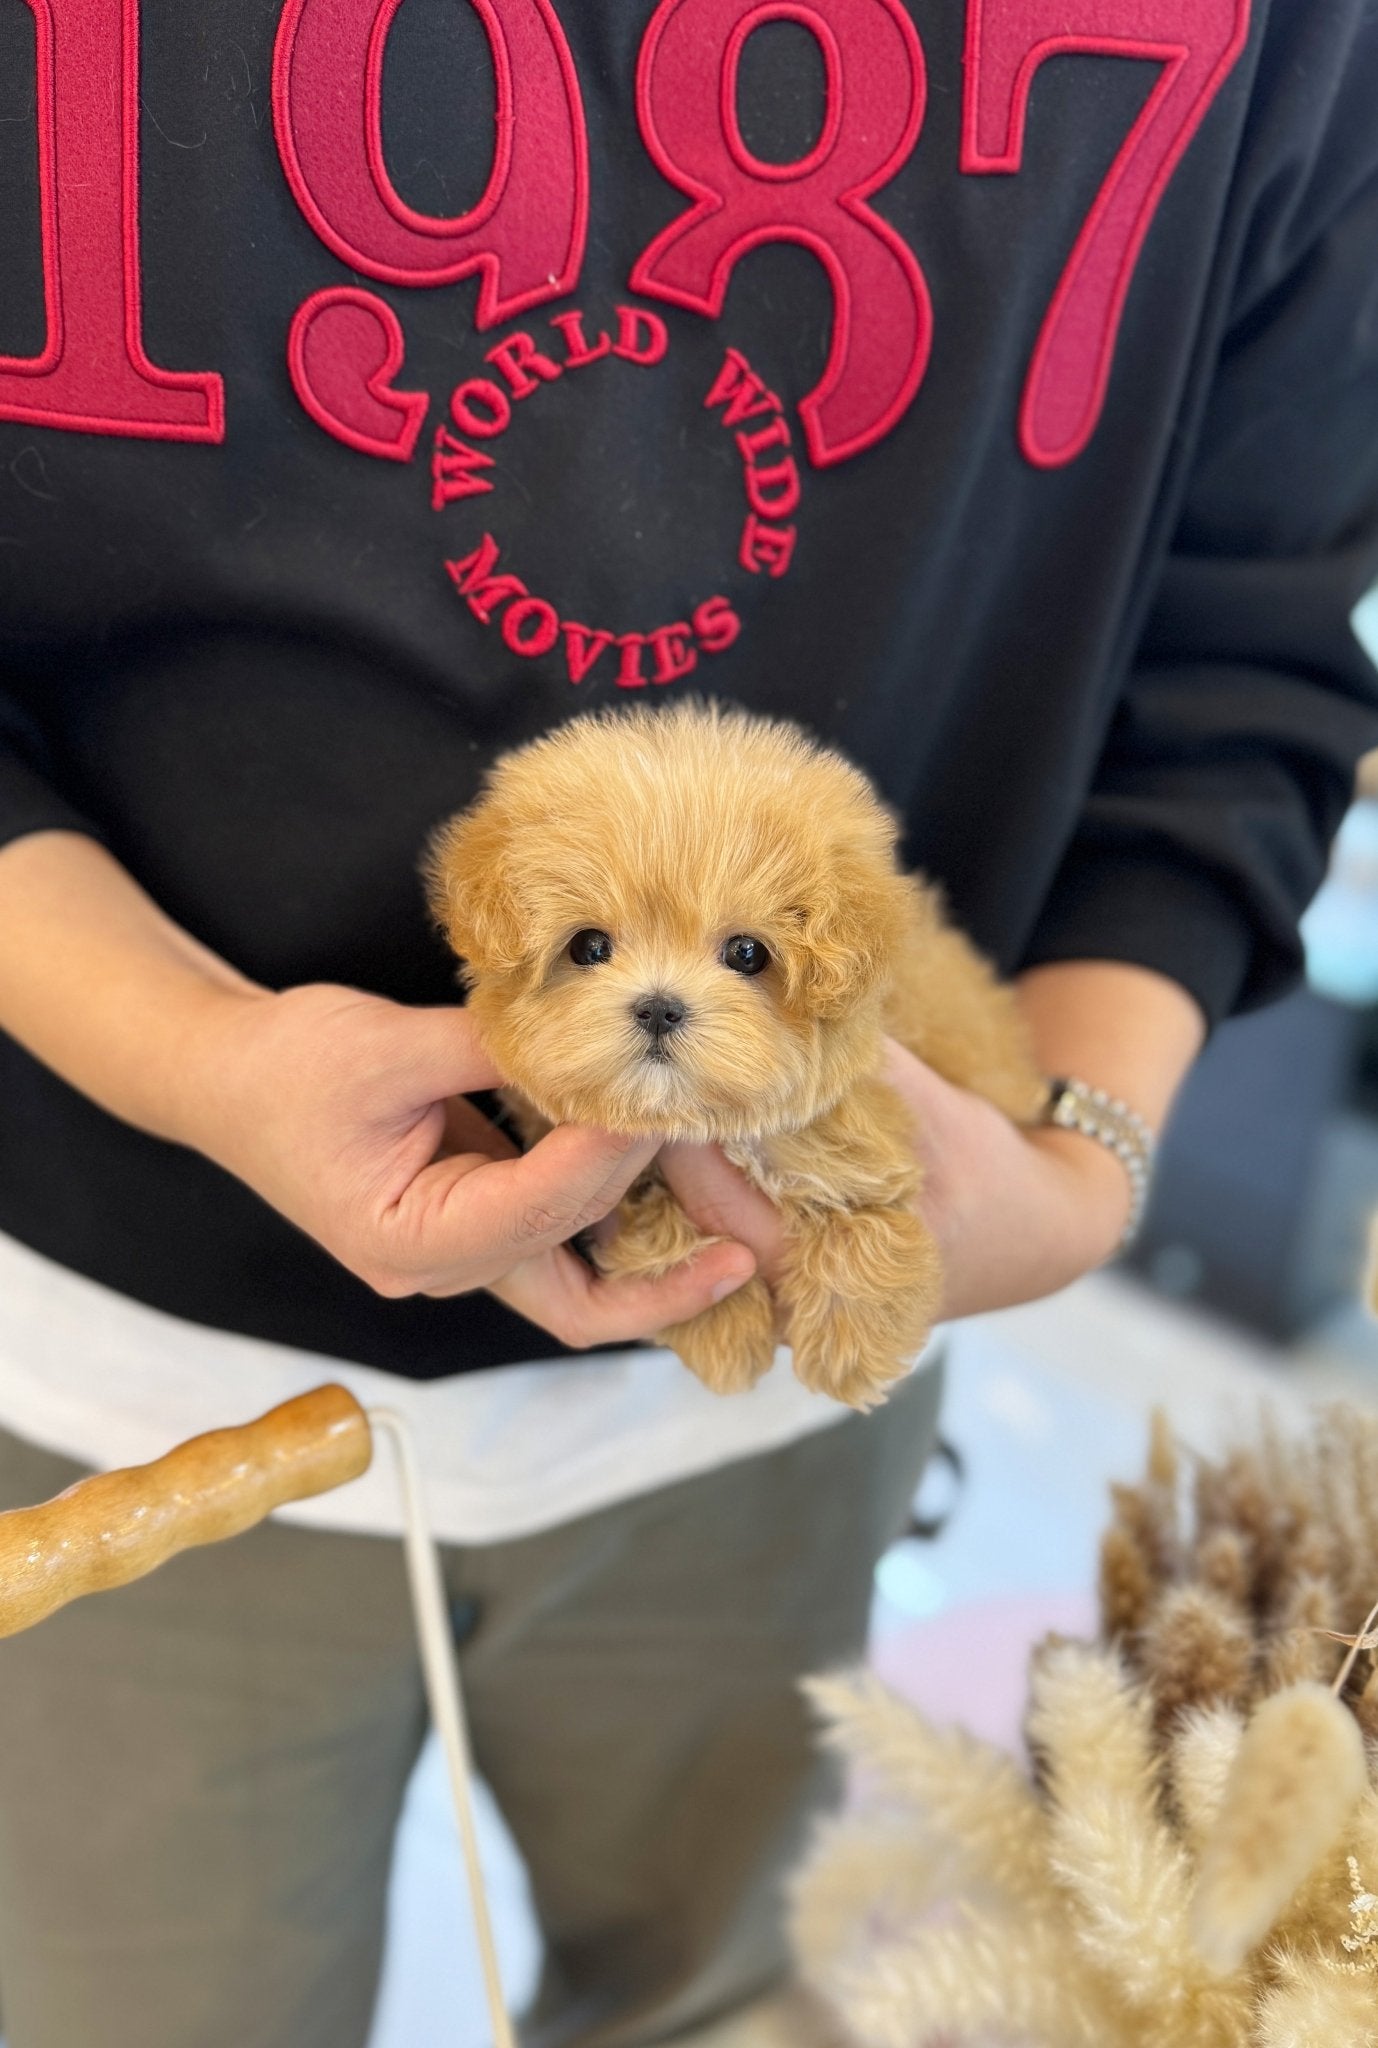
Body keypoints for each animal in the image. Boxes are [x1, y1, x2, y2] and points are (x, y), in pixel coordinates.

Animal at [429, 704, 1044, 1409]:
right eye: (588, 946)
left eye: (747, 953)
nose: (659, 1007)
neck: (705, 1124)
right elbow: (655, 1225)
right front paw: (720, 1325)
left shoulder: (858, 1133)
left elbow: (863, 1214)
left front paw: (852, 1349)